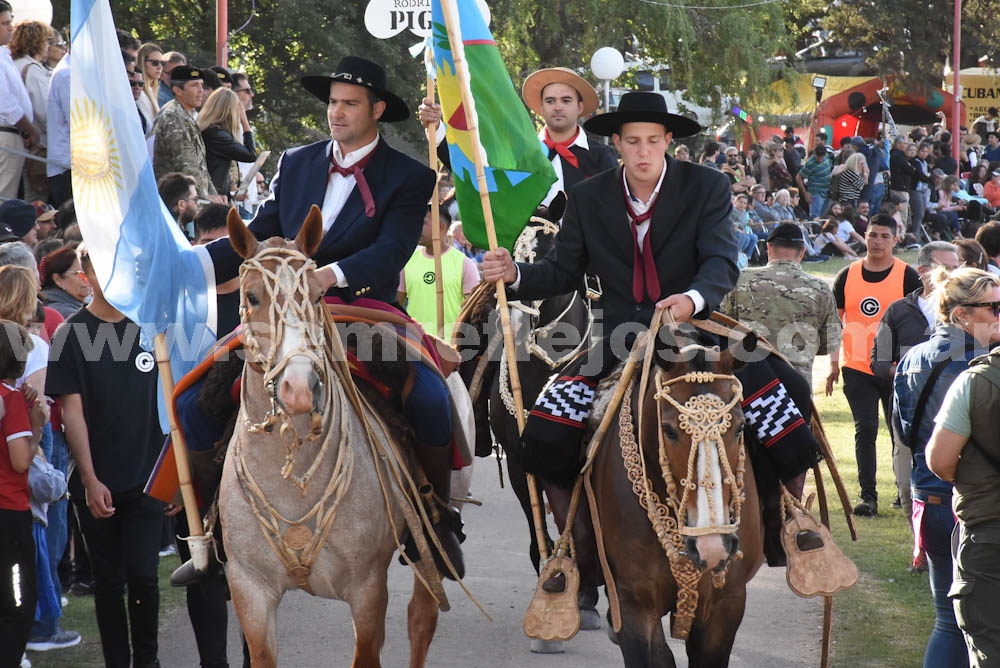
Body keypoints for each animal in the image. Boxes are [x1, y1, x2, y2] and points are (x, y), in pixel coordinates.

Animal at [221, 209, 444, 668]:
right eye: (252, 296)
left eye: (318, 295)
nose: (299, 388)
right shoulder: (249, 588)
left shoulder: (367, 588)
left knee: (421, 618)